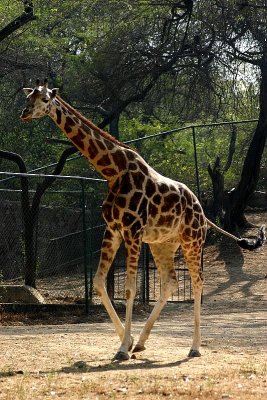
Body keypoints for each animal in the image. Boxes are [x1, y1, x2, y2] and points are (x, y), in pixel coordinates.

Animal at [20, 79, 266, 360]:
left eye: (45, 99)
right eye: (28, 98)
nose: (24, 113)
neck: (113, 172)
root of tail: (203, 212)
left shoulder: (132, 231)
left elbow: (130, 289)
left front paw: (123, 349)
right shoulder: (113, 229)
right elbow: (99, 283)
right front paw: (126, 342)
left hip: (192, 240)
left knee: (197, 281)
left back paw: (194, 347)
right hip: (162, 244)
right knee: (170, 282)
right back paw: (141, 342)